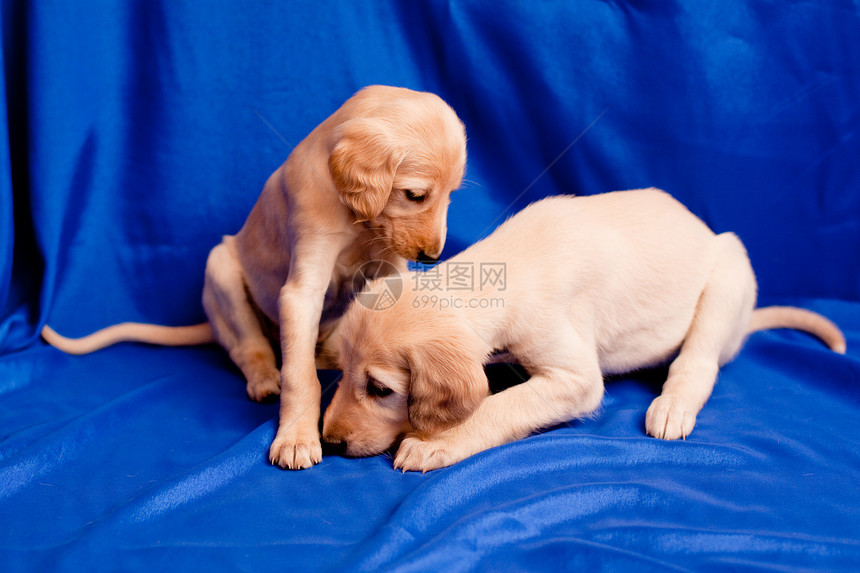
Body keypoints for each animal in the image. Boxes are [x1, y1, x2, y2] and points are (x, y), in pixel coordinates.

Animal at [42, 86, 466, 470]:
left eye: (451, 196)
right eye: (415, 195)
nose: (432, 256)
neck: (358, 220)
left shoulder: (389, 267)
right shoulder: (302, 286)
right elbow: (298, 375)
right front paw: (296, 438)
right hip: (222, 272)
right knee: (250, 349)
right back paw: (264, 378)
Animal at [324, 188, 848, 470]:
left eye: (380, 389)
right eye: (343, 373)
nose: (329, 441)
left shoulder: (575, 378)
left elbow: (498, 406)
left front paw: (436, 442)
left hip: (728, 271)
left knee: (698, 363)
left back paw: (673, 406)